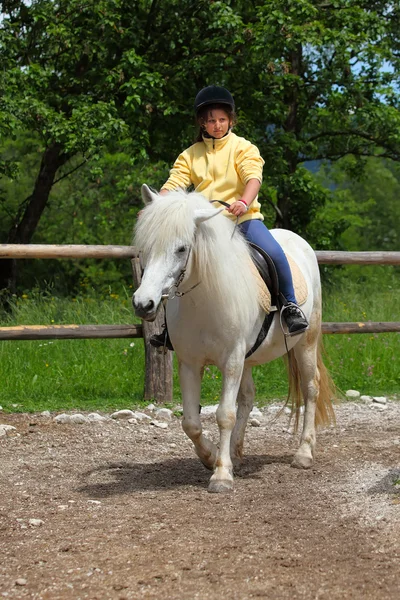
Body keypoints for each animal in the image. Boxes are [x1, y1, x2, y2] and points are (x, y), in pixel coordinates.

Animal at [134, 186, 334, 492]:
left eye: (181, 248)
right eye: (144, 246)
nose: (144, 304)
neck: (204, 300)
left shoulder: (231, 360)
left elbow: (224, 415)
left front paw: (221, 475)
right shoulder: (190, 363)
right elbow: (191, 422)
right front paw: (211, 456)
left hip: (305, 343)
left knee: (310, 388)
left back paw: (303, 453)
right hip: (248, 359)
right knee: (248, 399)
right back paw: (236, 453)